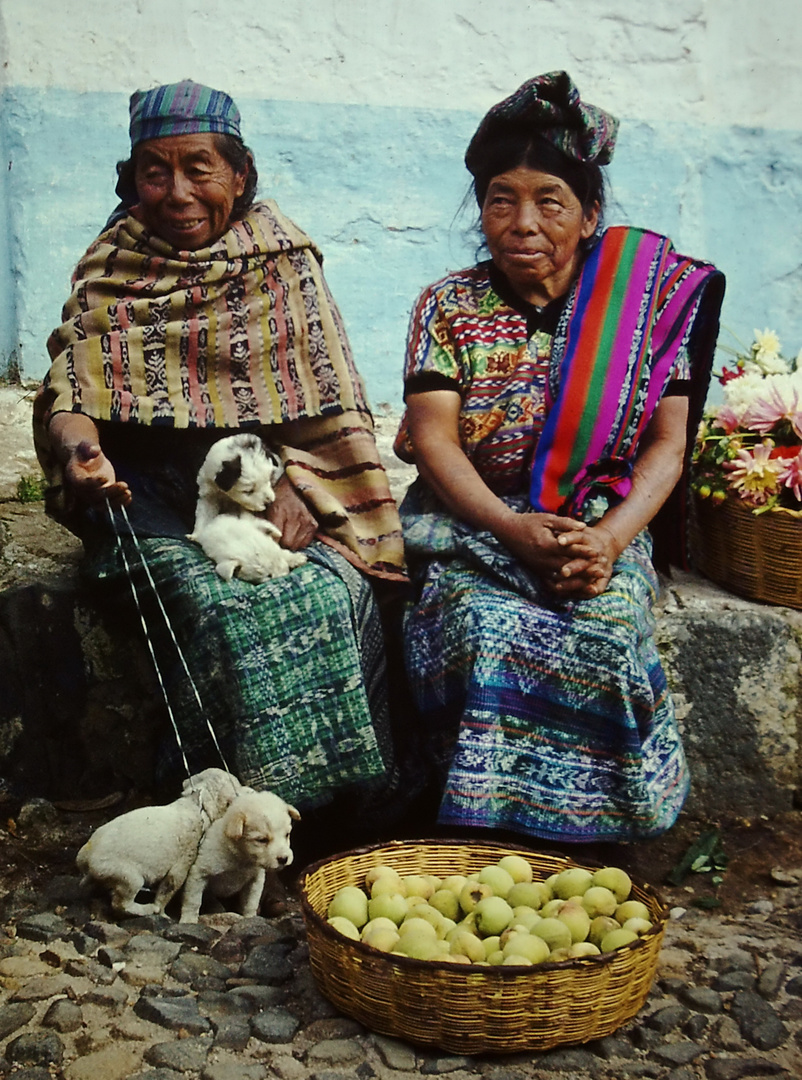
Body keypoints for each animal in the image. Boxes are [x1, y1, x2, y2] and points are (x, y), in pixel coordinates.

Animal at [78, 768, 249, 920]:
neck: (197, 805)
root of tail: (85, 857)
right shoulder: (187, 850)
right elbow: (173, 881)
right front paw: (162, 912)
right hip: (117, 868)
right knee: (126, 892)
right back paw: (145, 909)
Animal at [179, 790, 302, 924]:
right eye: (261, 840)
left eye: (287, 834)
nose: (284, 859)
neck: (240, 859)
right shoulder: (198, 874)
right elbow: (193, 901)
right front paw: (188, 919)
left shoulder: (255, 880)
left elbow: (251, 903)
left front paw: (250, 918)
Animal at [189, 432, 308, 587]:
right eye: (248, 491)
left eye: (269, 480)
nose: (269, 503)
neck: (227, 495)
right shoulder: (208, 493)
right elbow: (204, 514)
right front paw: (196, 535)